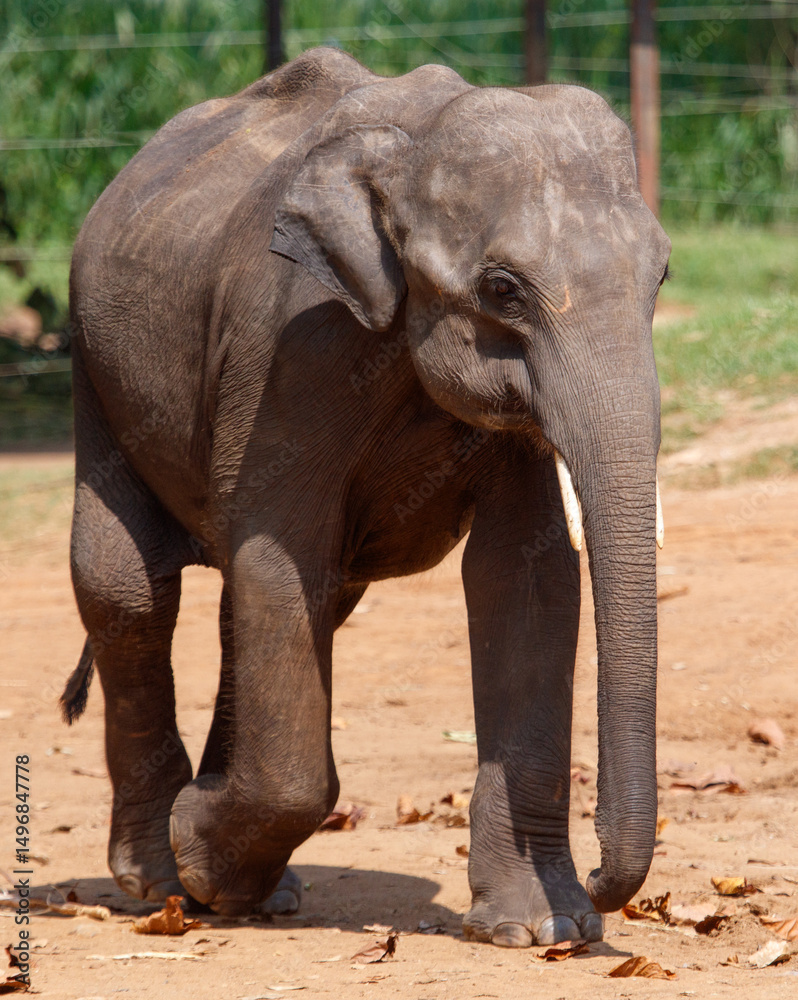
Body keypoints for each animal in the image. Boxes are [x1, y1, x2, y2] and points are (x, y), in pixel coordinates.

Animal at [62, 46, 669, 948]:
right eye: (503, 289)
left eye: (662, 274)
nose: (603, 883)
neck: (412, 150)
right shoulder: (290, 349)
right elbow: (281, 556)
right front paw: (201, 851)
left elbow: (523, 578)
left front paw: (539, 930)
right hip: (95, 374)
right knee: (129, 591)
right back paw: (164, 881)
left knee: (269, 606)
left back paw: (253, 889)